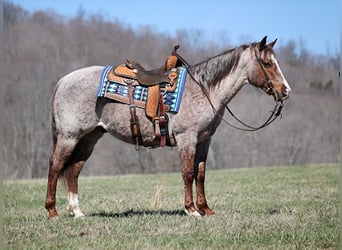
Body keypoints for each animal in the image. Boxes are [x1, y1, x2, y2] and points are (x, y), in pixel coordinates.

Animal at [44, 36, 292, 219]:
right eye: (267, 64)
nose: (286, 90)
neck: (203, 89)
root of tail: (63, 80)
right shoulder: (187, 138)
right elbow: (188, 172)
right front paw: (191, 210)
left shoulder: (204, 140)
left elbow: (201, 174)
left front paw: (206, 209)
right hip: (69, 136)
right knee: (56, 166)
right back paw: (52, 211)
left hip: (89, 138)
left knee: (74, 169)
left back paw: (77, 211)